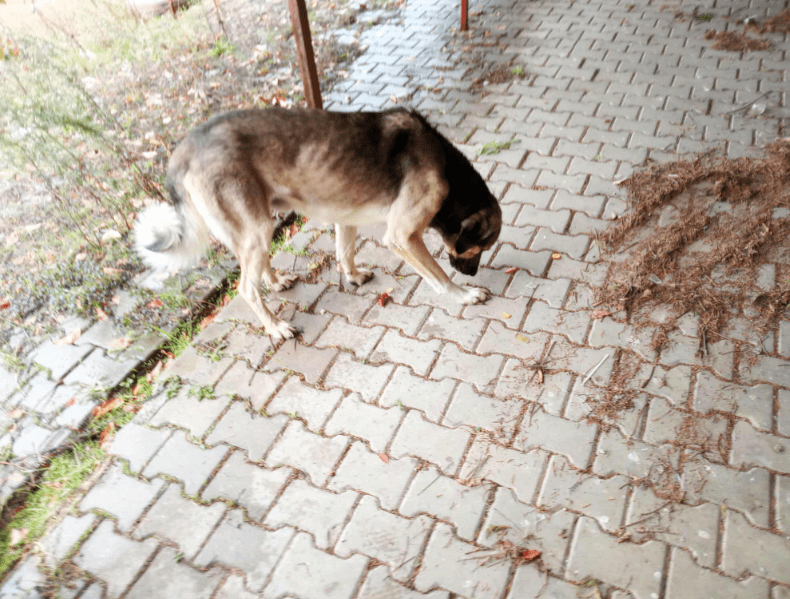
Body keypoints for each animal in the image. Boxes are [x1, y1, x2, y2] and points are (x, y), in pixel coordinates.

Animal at [135, 107, 502, 340]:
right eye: (481, 248)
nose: (472, 274)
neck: (449, 172)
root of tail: (184, 147)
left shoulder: (346, 217)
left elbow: (345, 252)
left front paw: (352, 276)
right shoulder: (402, 236)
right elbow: (439, 277)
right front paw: (464, 294)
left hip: (257, 225)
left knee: (256, 267)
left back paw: (276, 282)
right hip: (255, 228)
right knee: (246, 288)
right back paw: (275, 327)